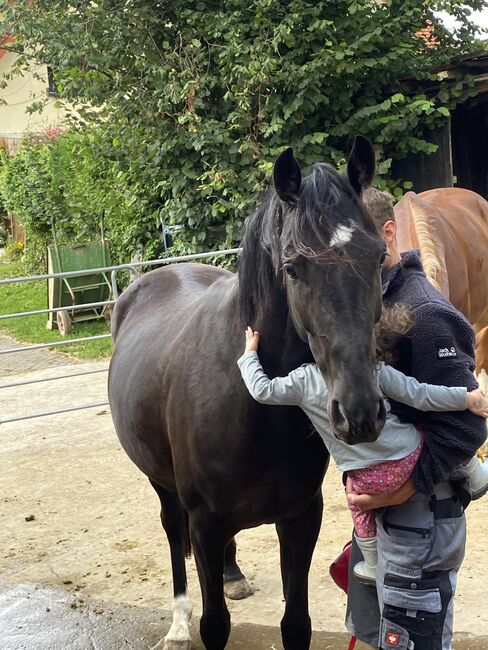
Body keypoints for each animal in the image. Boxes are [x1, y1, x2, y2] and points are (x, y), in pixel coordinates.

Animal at [108, 137, 386, 648]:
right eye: (292, 268)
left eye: (377, 256)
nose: (359, 412)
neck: (256, 406)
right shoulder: (204, 523)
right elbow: (215, 623)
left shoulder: (300, 520)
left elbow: (296, 624)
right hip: (162, 485)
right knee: (173, 533)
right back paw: (177, 624)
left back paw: (233, 575)